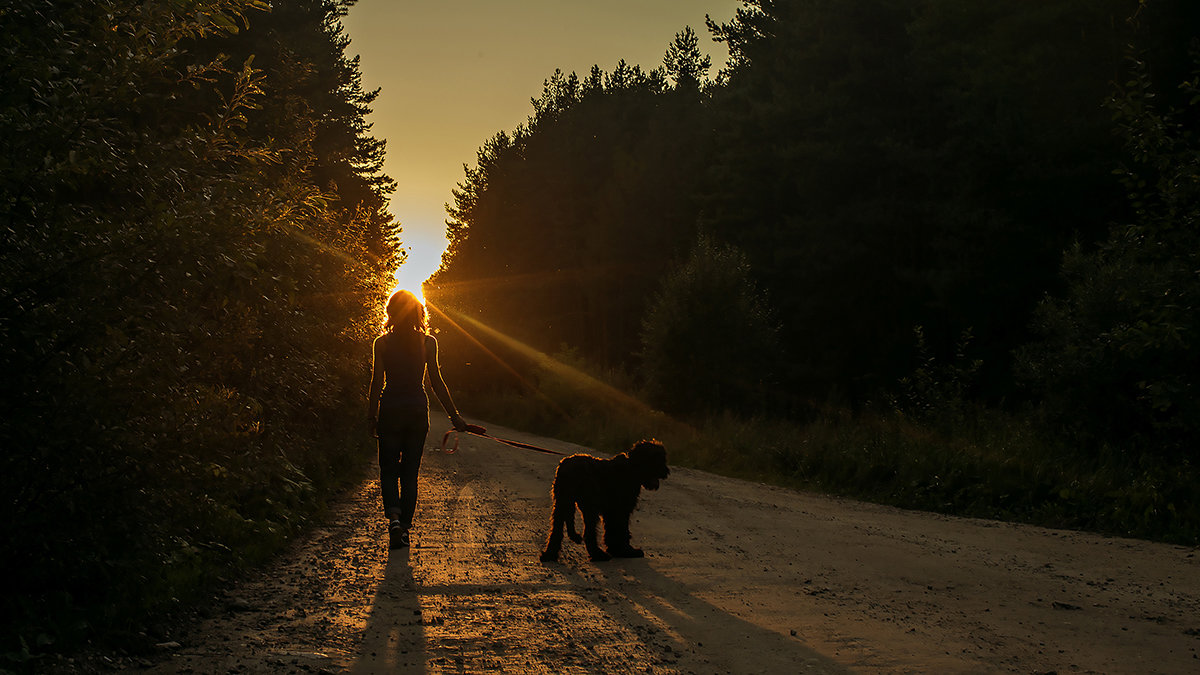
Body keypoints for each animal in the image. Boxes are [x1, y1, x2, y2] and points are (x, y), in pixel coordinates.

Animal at [542, 439, 672, 559]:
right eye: (656, 458)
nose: (666, 472)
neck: (631, 469)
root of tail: (566, 466)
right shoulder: (620, 510)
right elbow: (621, 530)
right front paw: (626, 551)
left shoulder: (611, 512)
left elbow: (612, 530)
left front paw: (616, 550)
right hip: (587, 506)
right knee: (589, 533)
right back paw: (598, 555)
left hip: (562, 502)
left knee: (556, 530)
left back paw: (549, 555)